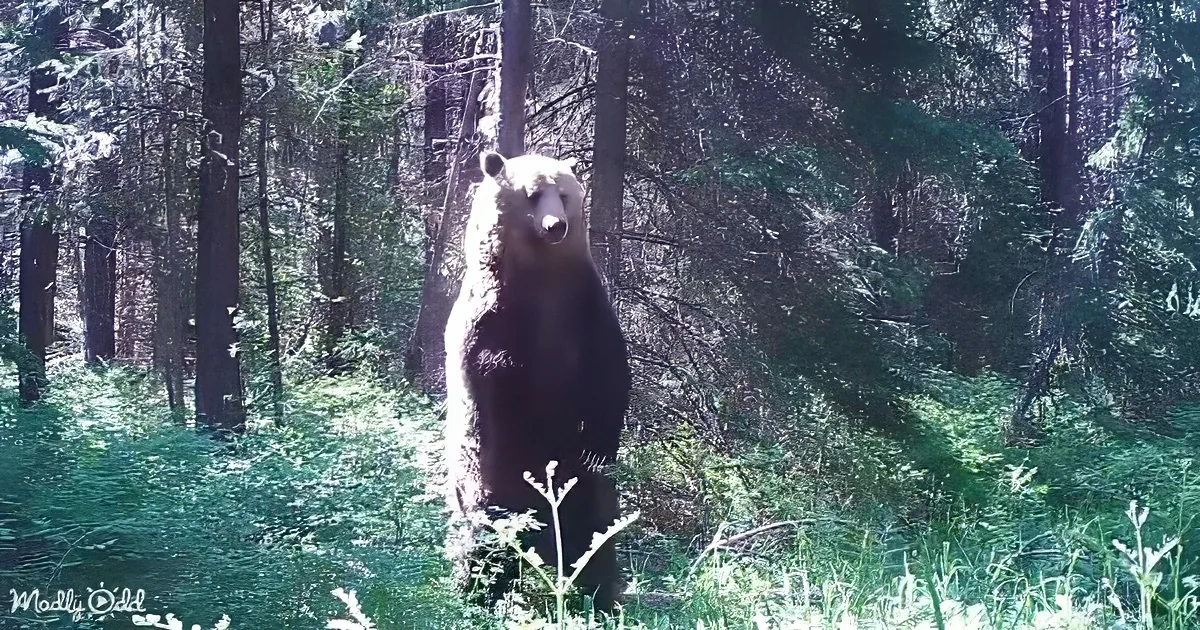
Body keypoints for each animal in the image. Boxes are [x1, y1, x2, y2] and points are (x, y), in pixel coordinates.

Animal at [443, 150, 631, 613]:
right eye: (531, 194)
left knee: (596, 529)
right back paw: (477, 589)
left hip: (581, 488)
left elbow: (610, 381)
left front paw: (602, 441)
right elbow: (493, 374)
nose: (555, 226)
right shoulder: (491, 317)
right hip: (485, 479)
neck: (543, 278)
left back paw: (600, 592)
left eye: (563, 194)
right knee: (485, 532)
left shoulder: (587, 310)